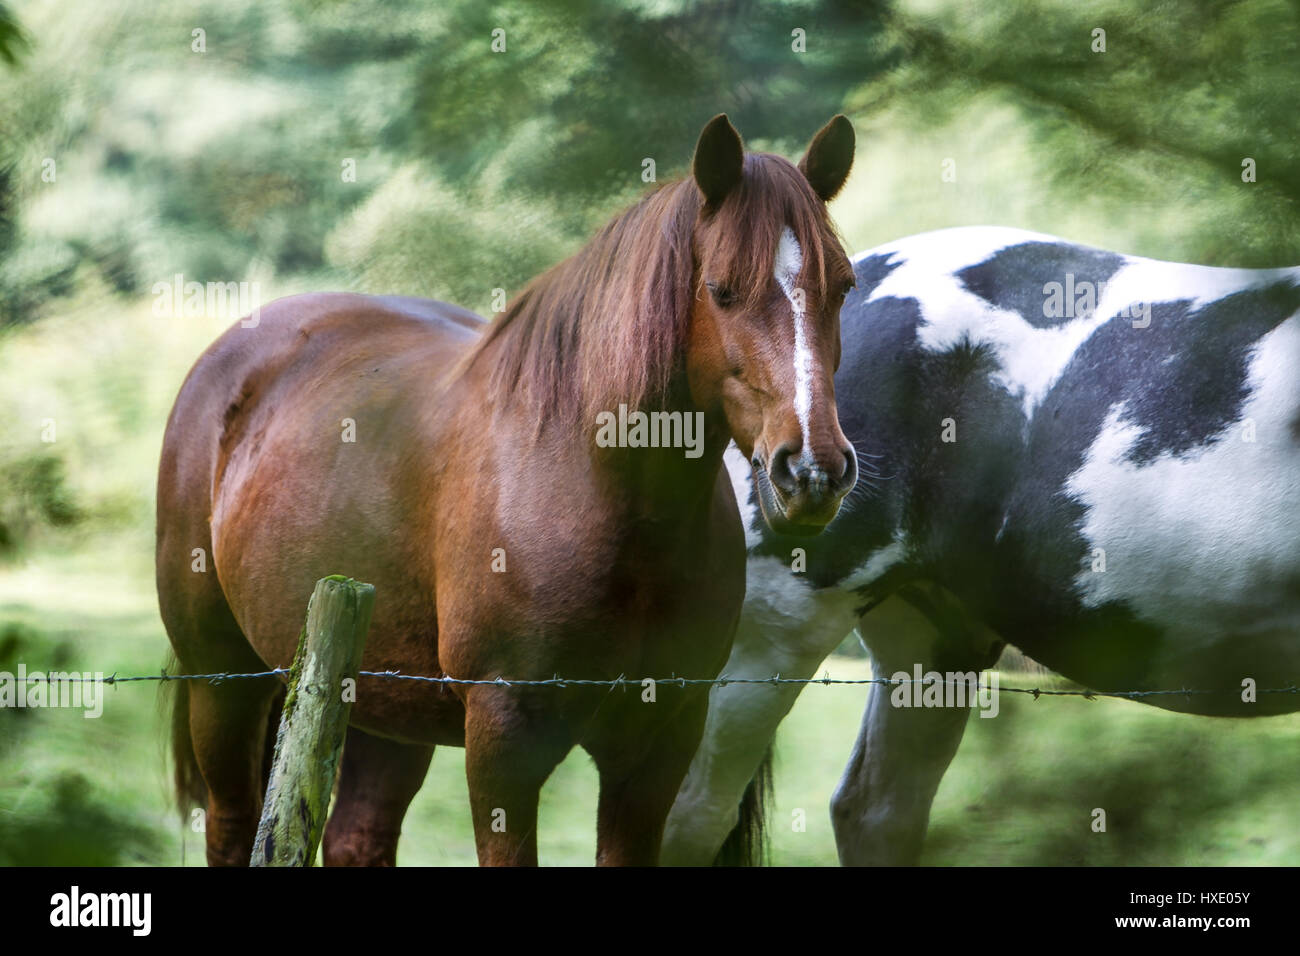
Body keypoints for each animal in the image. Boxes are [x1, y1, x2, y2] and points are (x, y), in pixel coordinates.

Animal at [157, 113, 857, 868]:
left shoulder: (658, 743)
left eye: (843, 287)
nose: (812, 470)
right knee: (231, 824)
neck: (607, 497)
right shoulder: (504, 741)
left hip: (381, 708)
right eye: (723, 290)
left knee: (356, 835)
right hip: (222, 683)